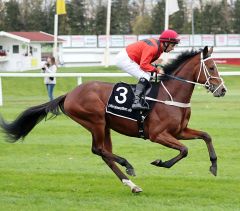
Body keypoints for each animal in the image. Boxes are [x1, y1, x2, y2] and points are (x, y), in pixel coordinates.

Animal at [0, 46, 226, 193]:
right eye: (212, 68)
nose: (222, 90)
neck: (170, 95)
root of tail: (70, 94)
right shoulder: (157, 135)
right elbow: (184, 150)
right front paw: (160, 162)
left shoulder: (179, 131)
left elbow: (206, 136)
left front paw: (214, 166)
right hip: (96, 121)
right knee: (99, 150)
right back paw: (128, 165)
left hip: (104, 126)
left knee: (104, 154)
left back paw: (132, 185)